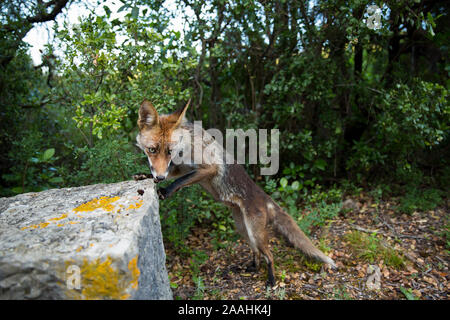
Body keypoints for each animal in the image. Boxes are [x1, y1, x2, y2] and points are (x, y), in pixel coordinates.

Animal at [135, 99, 336, 284]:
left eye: (169, 151)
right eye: (152, 149)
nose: (159, 178)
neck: (185, 147)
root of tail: (266, 197)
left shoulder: (208, 168)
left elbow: (179, 181)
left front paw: (165, 190)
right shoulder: (181, 168)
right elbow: (171, 174)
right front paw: (146, 176)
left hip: (255, 232)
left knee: (269, 256)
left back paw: (271, 281)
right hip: (242, 228)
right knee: (256, 253)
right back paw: (251, 268)